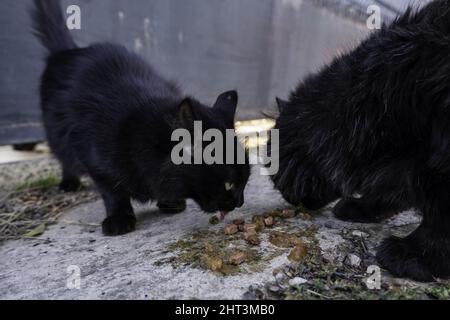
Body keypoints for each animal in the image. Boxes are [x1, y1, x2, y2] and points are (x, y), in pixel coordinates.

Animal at [31, 0, 250, 235]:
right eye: (229, 184)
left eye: (246, 179)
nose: (240, 202)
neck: (137, 131)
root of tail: (69, 50)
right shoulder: (93, 157)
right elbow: (112, 191)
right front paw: (119, 218)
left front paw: (170, 202)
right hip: (56, 132)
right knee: (64, 157)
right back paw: (69, 183)